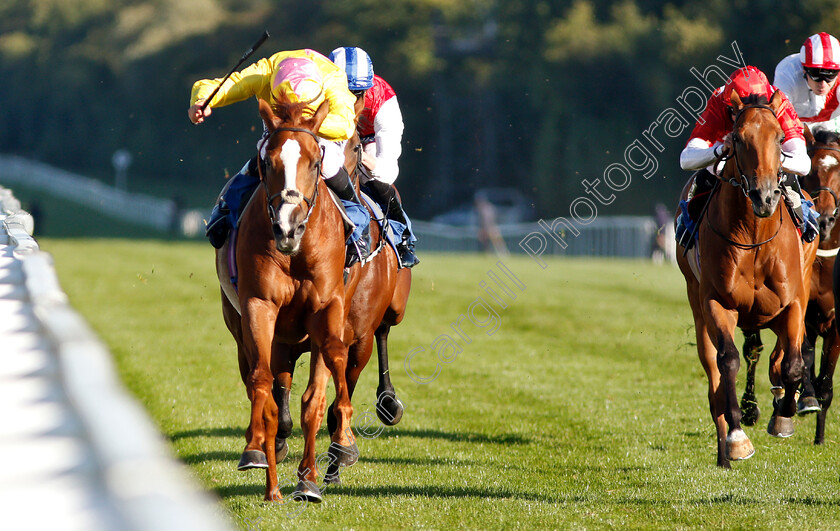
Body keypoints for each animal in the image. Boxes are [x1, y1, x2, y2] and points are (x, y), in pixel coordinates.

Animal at [215, 97, 360, 500]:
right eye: (269, 162)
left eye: (314, 161)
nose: (287, 227)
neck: (296, 252)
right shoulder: (258, 306)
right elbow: (262, 386)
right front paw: (260, 464)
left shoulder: (327, 307)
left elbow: (320, 392)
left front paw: (324, 463)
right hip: (244, 328)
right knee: (261, 388)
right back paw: (264, 467)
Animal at [676, 92, 820, 470]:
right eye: (738, 139)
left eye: (780, 138)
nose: (765, 196)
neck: (754, 238)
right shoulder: (717, 302)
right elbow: (727, 361)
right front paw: (737, 438)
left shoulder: (794, 302)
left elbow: (794, 364)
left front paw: (784, 415)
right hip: (697, 304)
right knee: (714, 375)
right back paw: (725, 448)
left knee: (781, 354)